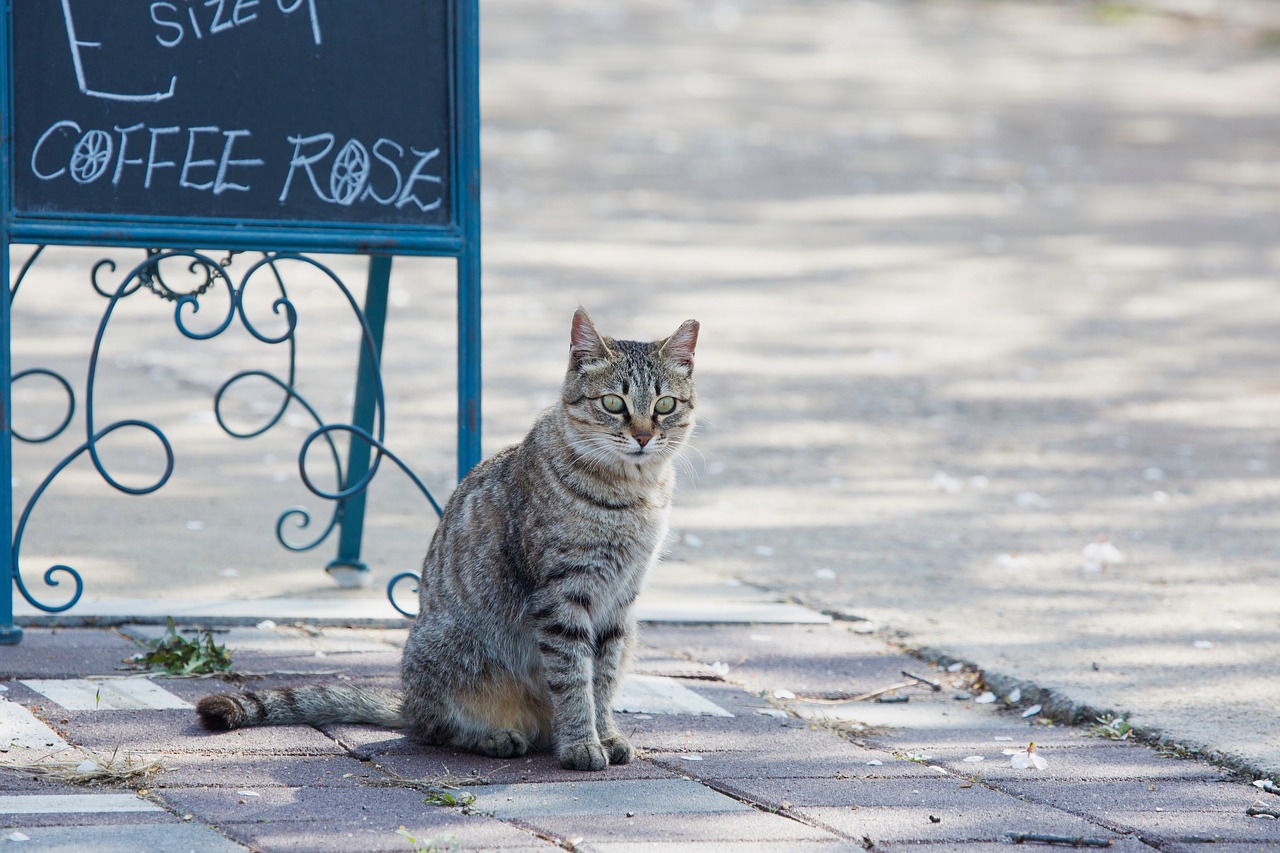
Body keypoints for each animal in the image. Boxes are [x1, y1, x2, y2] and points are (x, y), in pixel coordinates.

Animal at [197, 307, 701, 768]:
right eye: (614, 403)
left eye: (665, 405)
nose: (643, 436)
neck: (633, 494)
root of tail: (408, 701)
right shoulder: (563, 596)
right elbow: (575, 678)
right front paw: (582, 742)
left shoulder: (620, 603)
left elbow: (604, 678)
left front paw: (606, 734)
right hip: (452, 654)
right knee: (434, 728)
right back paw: (495, 736)